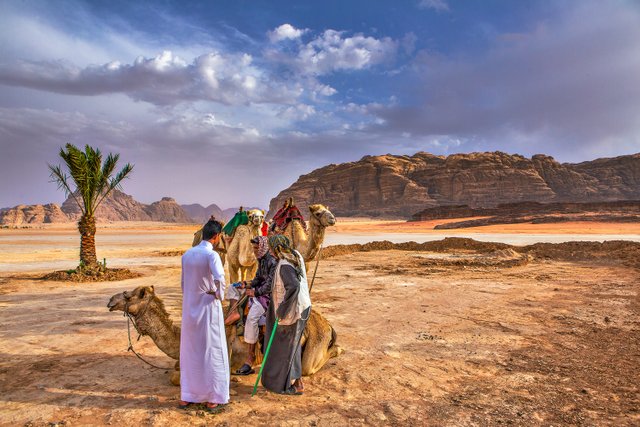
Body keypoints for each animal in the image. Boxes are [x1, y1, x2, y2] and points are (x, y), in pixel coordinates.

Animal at [107, 286, 342, 386]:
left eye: (128, 295)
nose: (110, 300)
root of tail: (328, 325)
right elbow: (174, 368)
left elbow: (176, 377)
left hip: (314, 345)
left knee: (312, 365)